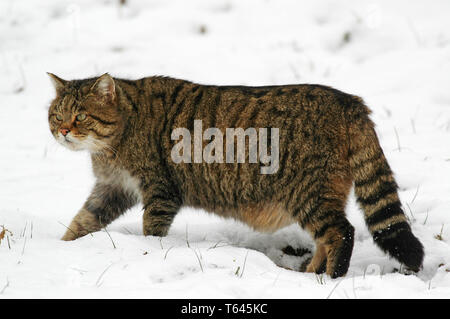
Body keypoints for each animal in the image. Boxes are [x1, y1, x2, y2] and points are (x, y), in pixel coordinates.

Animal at [47, 74, 424, 278]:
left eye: (81, 116)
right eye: (56, 114)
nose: (63, 130)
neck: (111, 144)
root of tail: (350, 101)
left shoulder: (159, 192)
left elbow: (151, 232)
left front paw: (148, 251)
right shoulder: (112, 189)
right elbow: (82, 222)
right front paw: (62, 249)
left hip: (308, 193)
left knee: (341, 233)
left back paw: (330, 278)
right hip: (322, 195)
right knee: (326, 238)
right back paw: (309, 274)